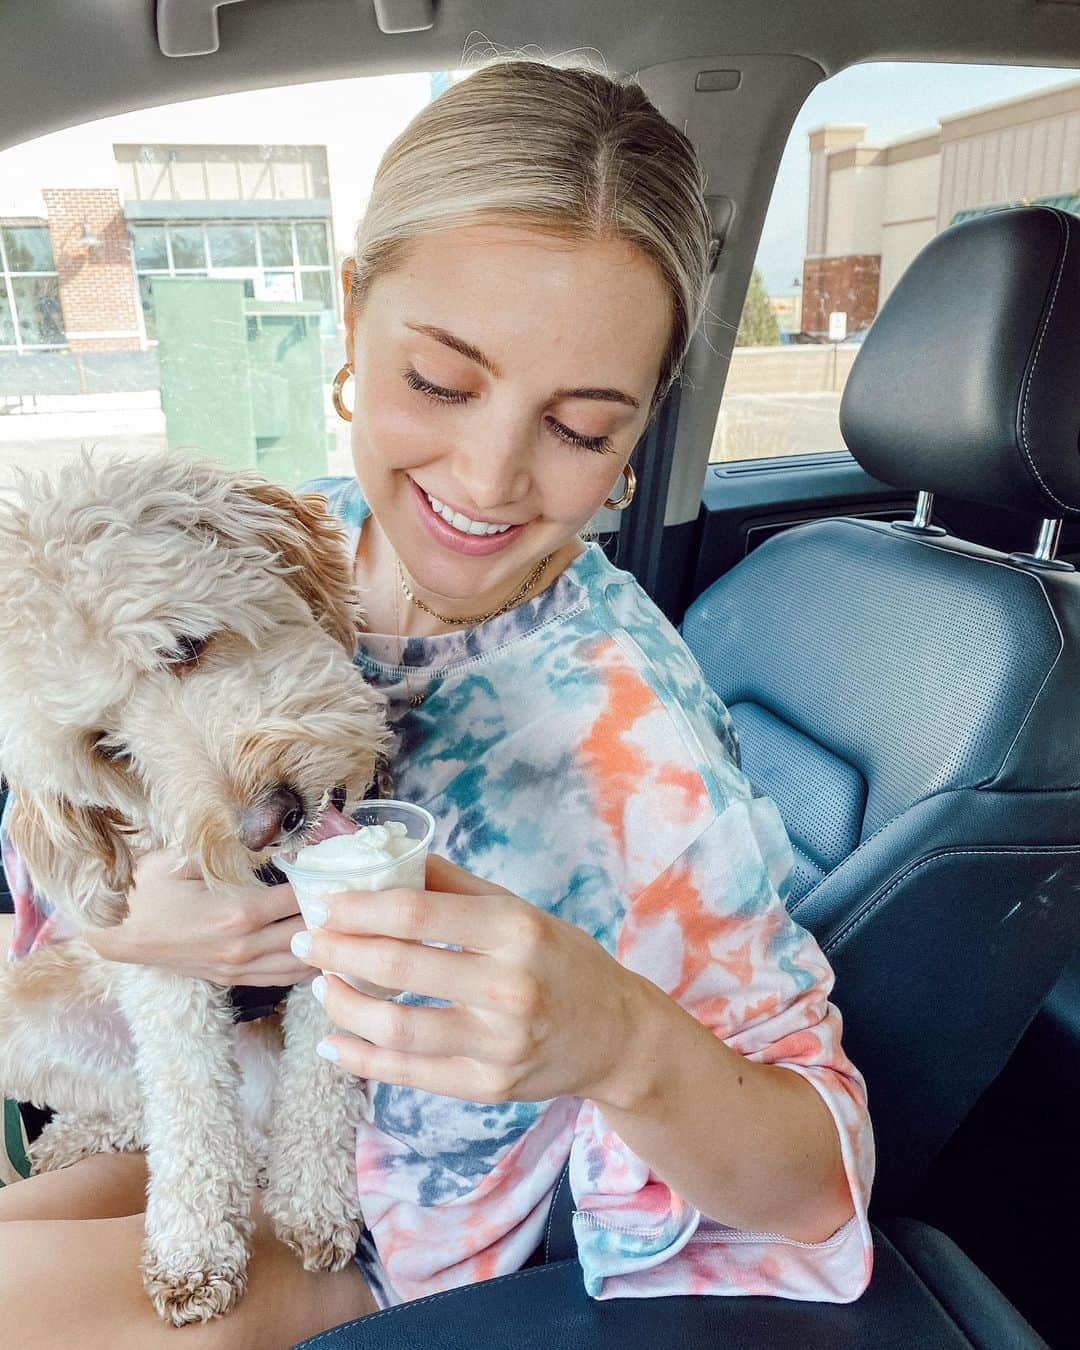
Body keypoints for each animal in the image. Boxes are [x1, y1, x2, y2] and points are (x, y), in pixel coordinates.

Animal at [0, 450, 391, 1317]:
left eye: (184, 645)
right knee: (148, 1111)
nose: (267, 821)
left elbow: (322, 1078)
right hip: (27, 1019)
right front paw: (192, 1250)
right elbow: (186, 1107)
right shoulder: (164, 974)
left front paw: (313, 1200)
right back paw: (76, 1139)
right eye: (106, 746)